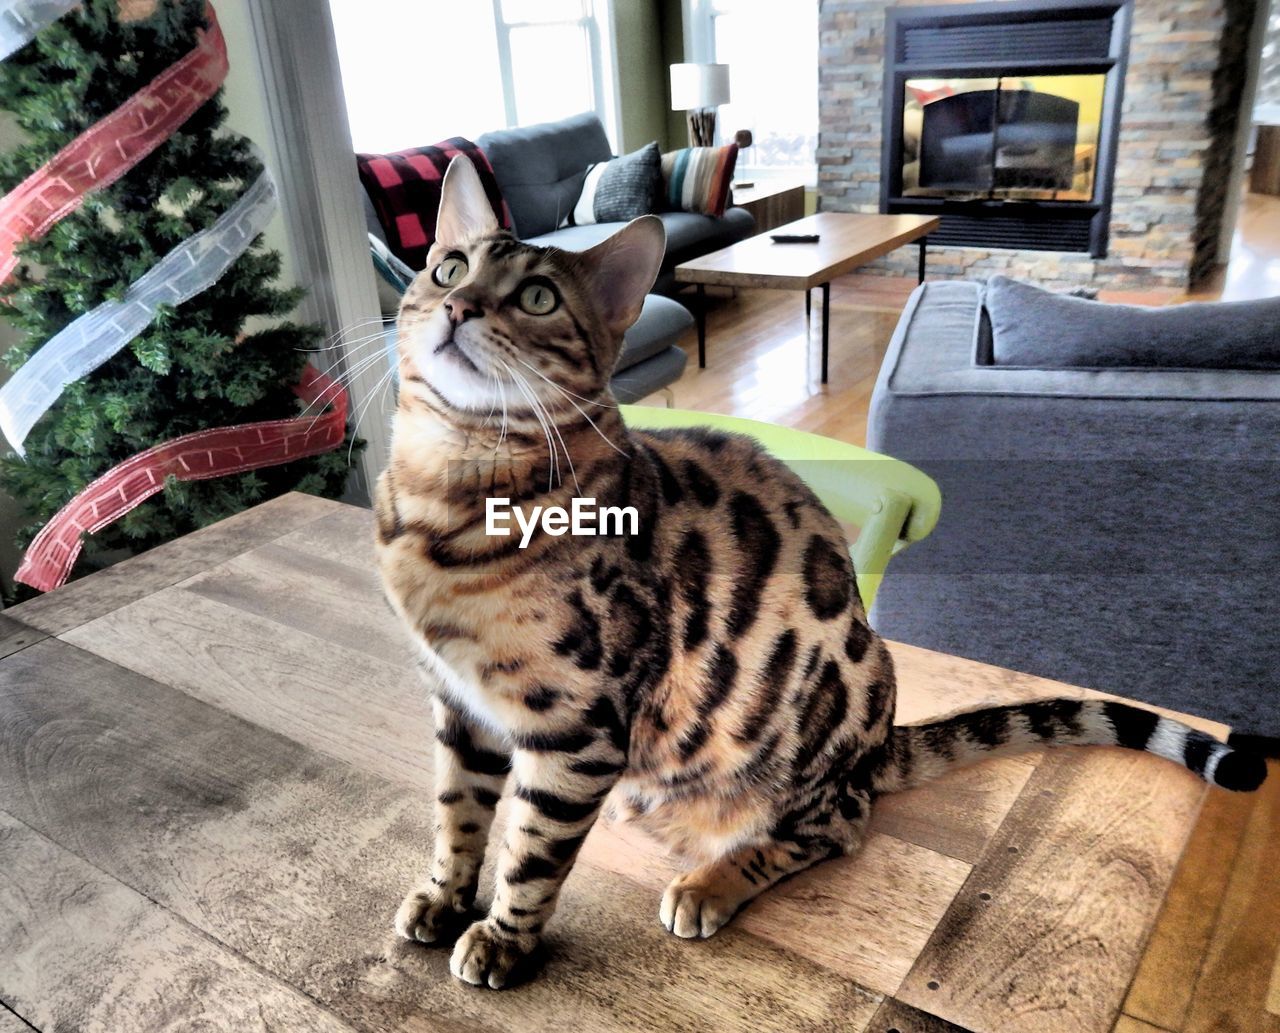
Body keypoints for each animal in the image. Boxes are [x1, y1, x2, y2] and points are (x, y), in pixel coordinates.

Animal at [373, 157, 1269, 988]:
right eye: (448, 268)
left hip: (806, 727)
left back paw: (710, 881)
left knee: (835, 825)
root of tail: (876, 744)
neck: (442, 497)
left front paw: (502, 938)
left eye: (536, 299)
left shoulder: (577, 723)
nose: (458, 306)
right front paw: (443, 896)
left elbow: (531, 848)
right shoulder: (459, 705)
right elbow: (457, 814)